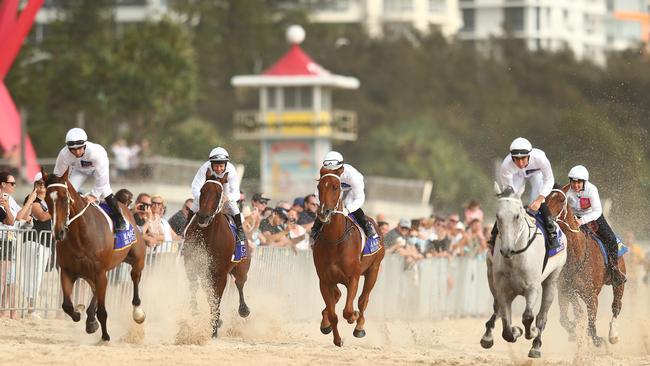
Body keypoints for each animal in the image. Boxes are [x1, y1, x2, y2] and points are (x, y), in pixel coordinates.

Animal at [42, 170, 146, 342]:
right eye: (46, 199)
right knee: (95, 290)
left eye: (65, 198)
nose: (58, 232)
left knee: (135, 277)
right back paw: (90, 319)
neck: (80, 236)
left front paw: (105, 337)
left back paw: (137, 312)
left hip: (137, 259)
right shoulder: (67, 271)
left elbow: (102, 311)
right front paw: (80, 313)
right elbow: (67, 305)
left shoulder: (100, 272)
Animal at [185, 171, 253, 338]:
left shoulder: (220, 273)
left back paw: (243, 310)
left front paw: (214, 330)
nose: (203, 217)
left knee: (240, 284)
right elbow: (195, 287)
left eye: (218, 195)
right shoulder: (192, 265)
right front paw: (195, 310)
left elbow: (216, 299)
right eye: (202, 191)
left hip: (242, 269)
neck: (209, 236)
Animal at [314, 167, 384, 348]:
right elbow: (334, 314)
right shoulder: (325, 280)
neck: (335, 241)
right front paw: (336, 338)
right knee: (337, 296)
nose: (324, 212)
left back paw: (359, 326)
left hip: (373, 270)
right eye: (319, 187)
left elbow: (348, 310)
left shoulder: (353, 278)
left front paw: (354, 316)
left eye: (335, 187)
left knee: (363, 300)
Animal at [478, 183, 564, 358]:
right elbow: (506, 329)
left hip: (552, 280)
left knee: (542, 316)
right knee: (497, 308)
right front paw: (515, 331)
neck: (515, 258)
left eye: (517, 216)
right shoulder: (503, 289)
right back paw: (488, 336)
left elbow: (528, 317)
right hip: (491, 278)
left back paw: (536, 346)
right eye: (497, 216)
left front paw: (531, 331)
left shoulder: (532, 288)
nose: (506, 250)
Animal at [544, 184, 624, 348]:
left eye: (561, 200)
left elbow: (591, 321)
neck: (577, 254)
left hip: (619, 282)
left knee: (616, 306)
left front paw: (597, 339)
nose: (547, 220)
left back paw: (613, 335)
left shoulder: (591, 295)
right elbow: (565, 318)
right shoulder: (565, 291)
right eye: (546, 199)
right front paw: (573, 332)